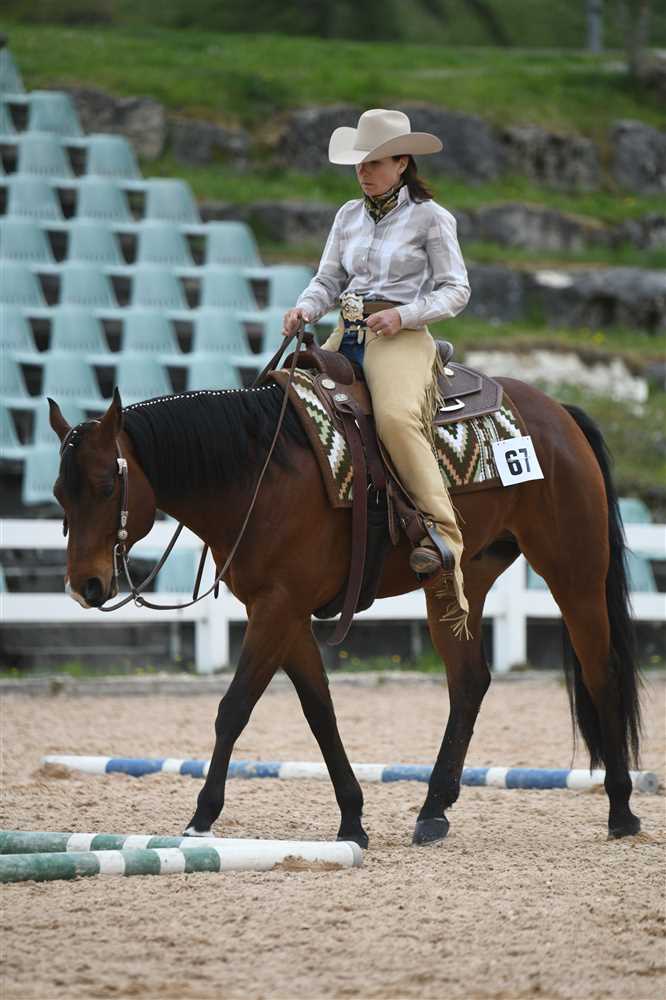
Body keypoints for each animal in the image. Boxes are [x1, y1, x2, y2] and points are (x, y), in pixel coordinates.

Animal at [47, 372, 642, 848]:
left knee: (601, 671)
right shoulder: (284, 614)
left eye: (106, 486)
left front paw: (201, 818)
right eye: (58, 493)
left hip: (575, 576)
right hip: (457, 582)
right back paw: (433, 811)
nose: (85, 586)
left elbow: (234, 708)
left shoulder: (278, 607)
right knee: (470, 682)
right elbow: (320, 711)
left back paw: (621, 808)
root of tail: (558, 412)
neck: (258, 473)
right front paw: (352, 819)